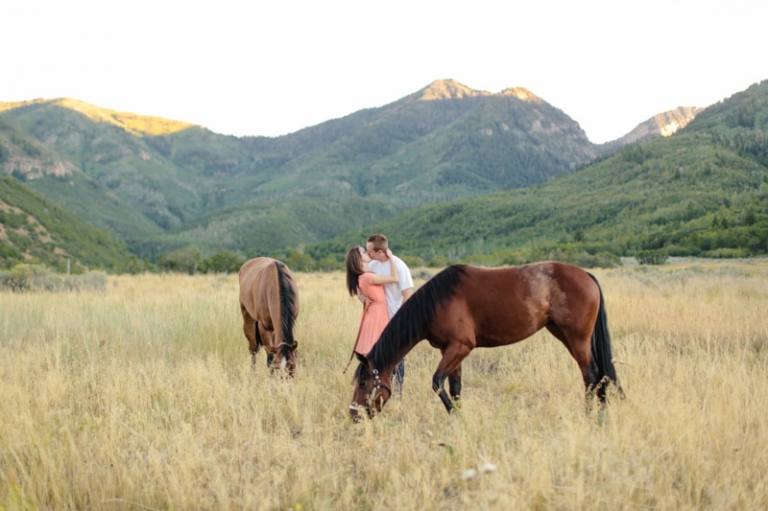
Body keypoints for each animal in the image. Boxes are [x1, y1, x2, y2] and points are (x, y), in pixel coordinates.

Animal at [349, 261, 622, 420]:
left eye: (363, 383)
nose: (354, 415)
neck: (437, 302)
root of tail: (586, 275)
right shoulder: (451, 352)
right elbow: (455, 388)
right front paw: (459, 419)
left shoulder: (460, 348)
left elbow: (437, 383)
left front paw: (455, 416)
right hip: (564, 334)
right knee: (598, 374)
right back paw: (602, 414)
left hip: (577, 338)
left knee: (590, 374)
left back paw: (589, 416)